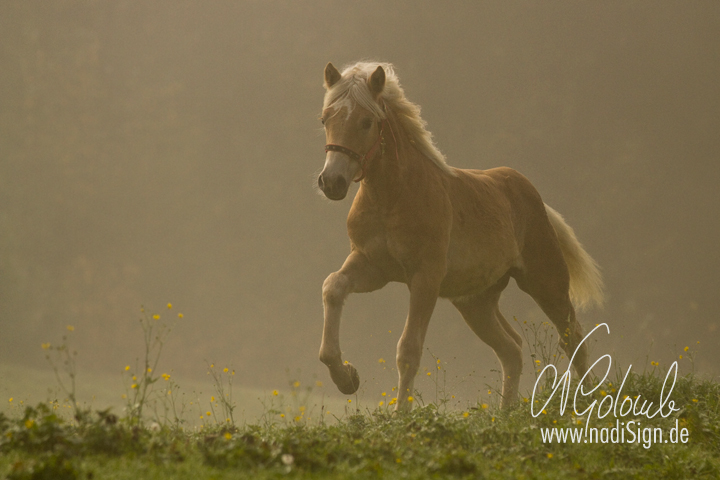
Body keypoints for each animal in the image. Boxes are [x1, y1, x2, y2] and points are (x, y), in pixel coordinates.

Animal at [316, 61, 600, 412]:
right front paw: (347, 378)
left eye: (366, 121)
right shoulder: (371, 266)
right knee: (512, 349)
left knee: (572, 337)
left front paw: (399, 416)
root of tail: (534, 198)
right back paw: (505, 414)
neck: (393, 196)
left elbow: (408, 350)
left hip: (545, 281)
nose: (332, 182)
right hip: (475, 302)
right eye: (325, 119)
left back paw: (587, 405)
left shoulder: (425, 277)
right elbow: (332, 286)